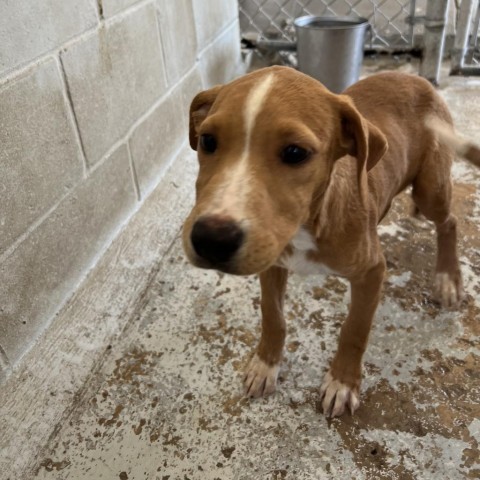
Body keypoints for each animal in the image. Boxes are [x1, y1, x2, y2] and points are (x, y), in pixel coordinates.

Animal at [182, 66, 464, 416]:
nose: (211, 240)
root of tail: (414, 77)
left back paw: (447, 279)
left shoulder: (372, 272)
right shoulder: (272, 263)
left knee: (449, 222)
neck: (309, 223)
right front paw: (266, 365)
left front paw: (342, 382)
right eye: (207, 140)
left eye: (295, 153)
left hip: (431, 189)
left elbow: (354, 329)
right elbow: (272, 315)